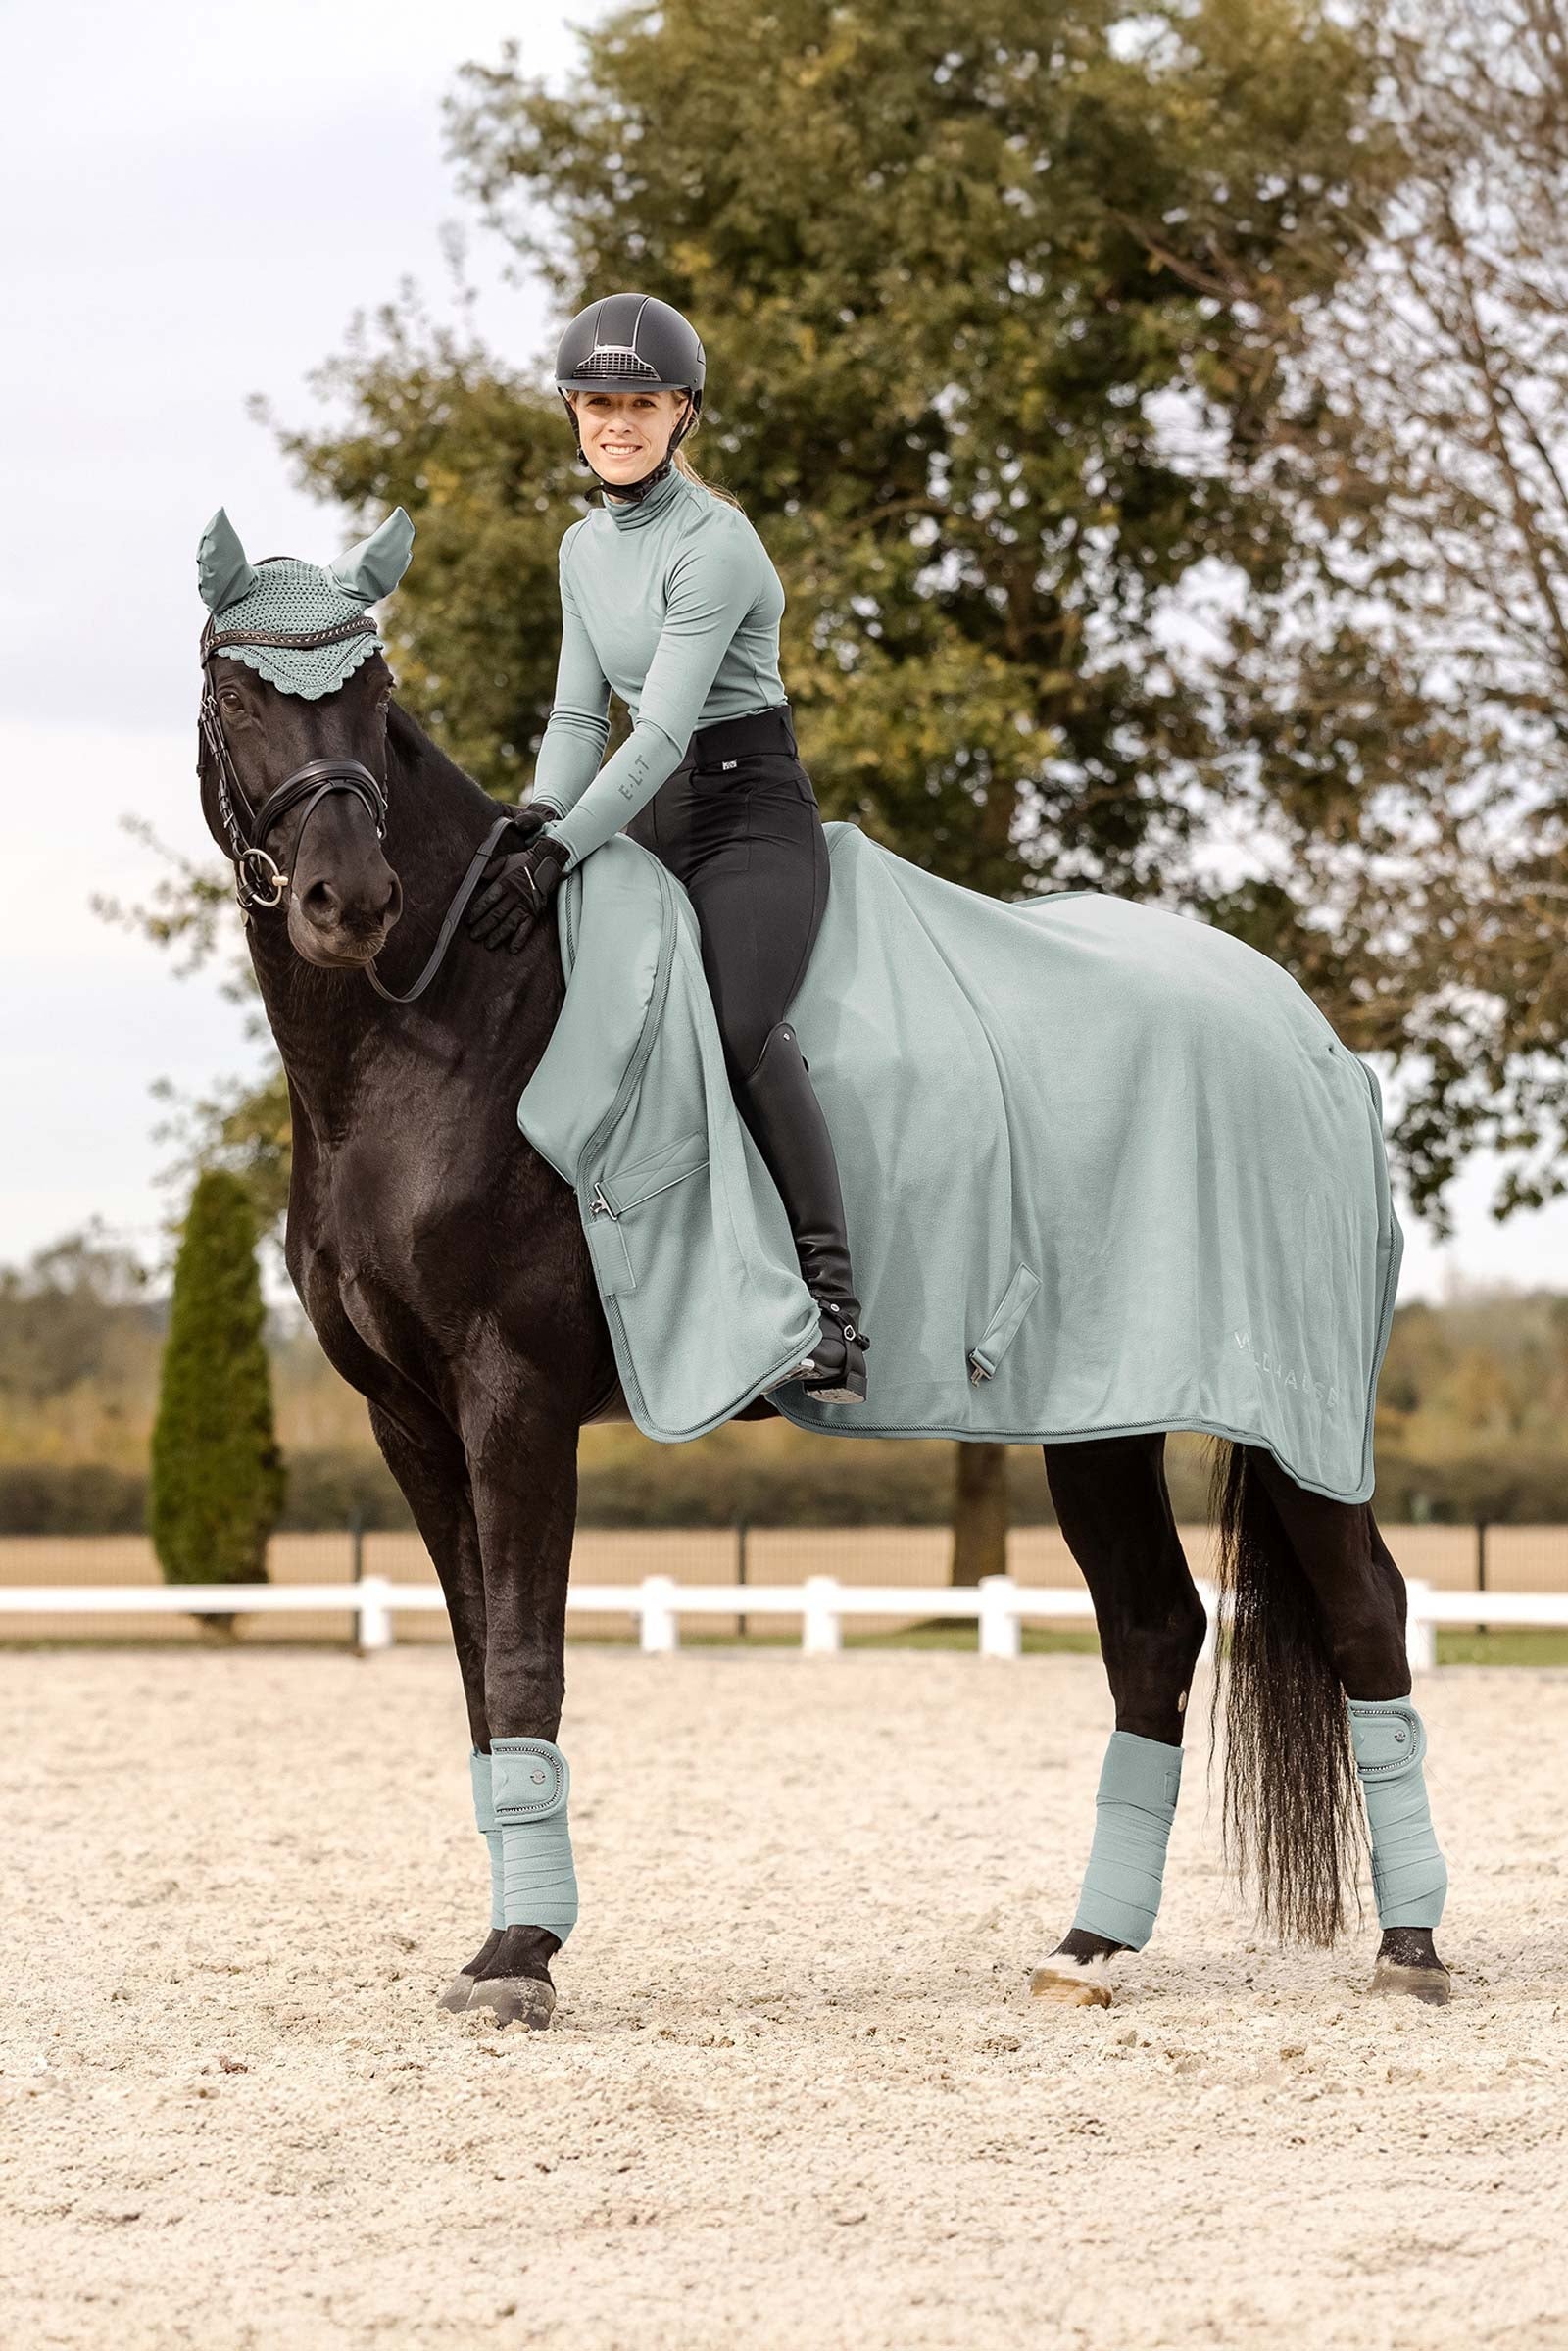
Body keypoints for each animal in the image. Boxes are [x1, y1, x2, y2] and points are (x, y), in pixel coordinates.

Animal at [193, 528, 1451, 2026]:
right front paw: (503, 1939)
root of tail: (1310, 1034)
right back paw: (1087, 1947)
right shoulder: (411, 1421)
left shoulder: (514, 1401)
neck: (449, 1026)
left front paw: (521, 1957)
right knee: (1153, 1628)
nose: (352, 905)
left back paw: (1411, 1948)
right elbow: (476, 1674)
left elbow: (525, 1661)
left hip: (1295, 1421)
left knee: (1366, 1609)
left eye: (374, 694)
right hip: (1101, 1409)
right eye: (239, 694)